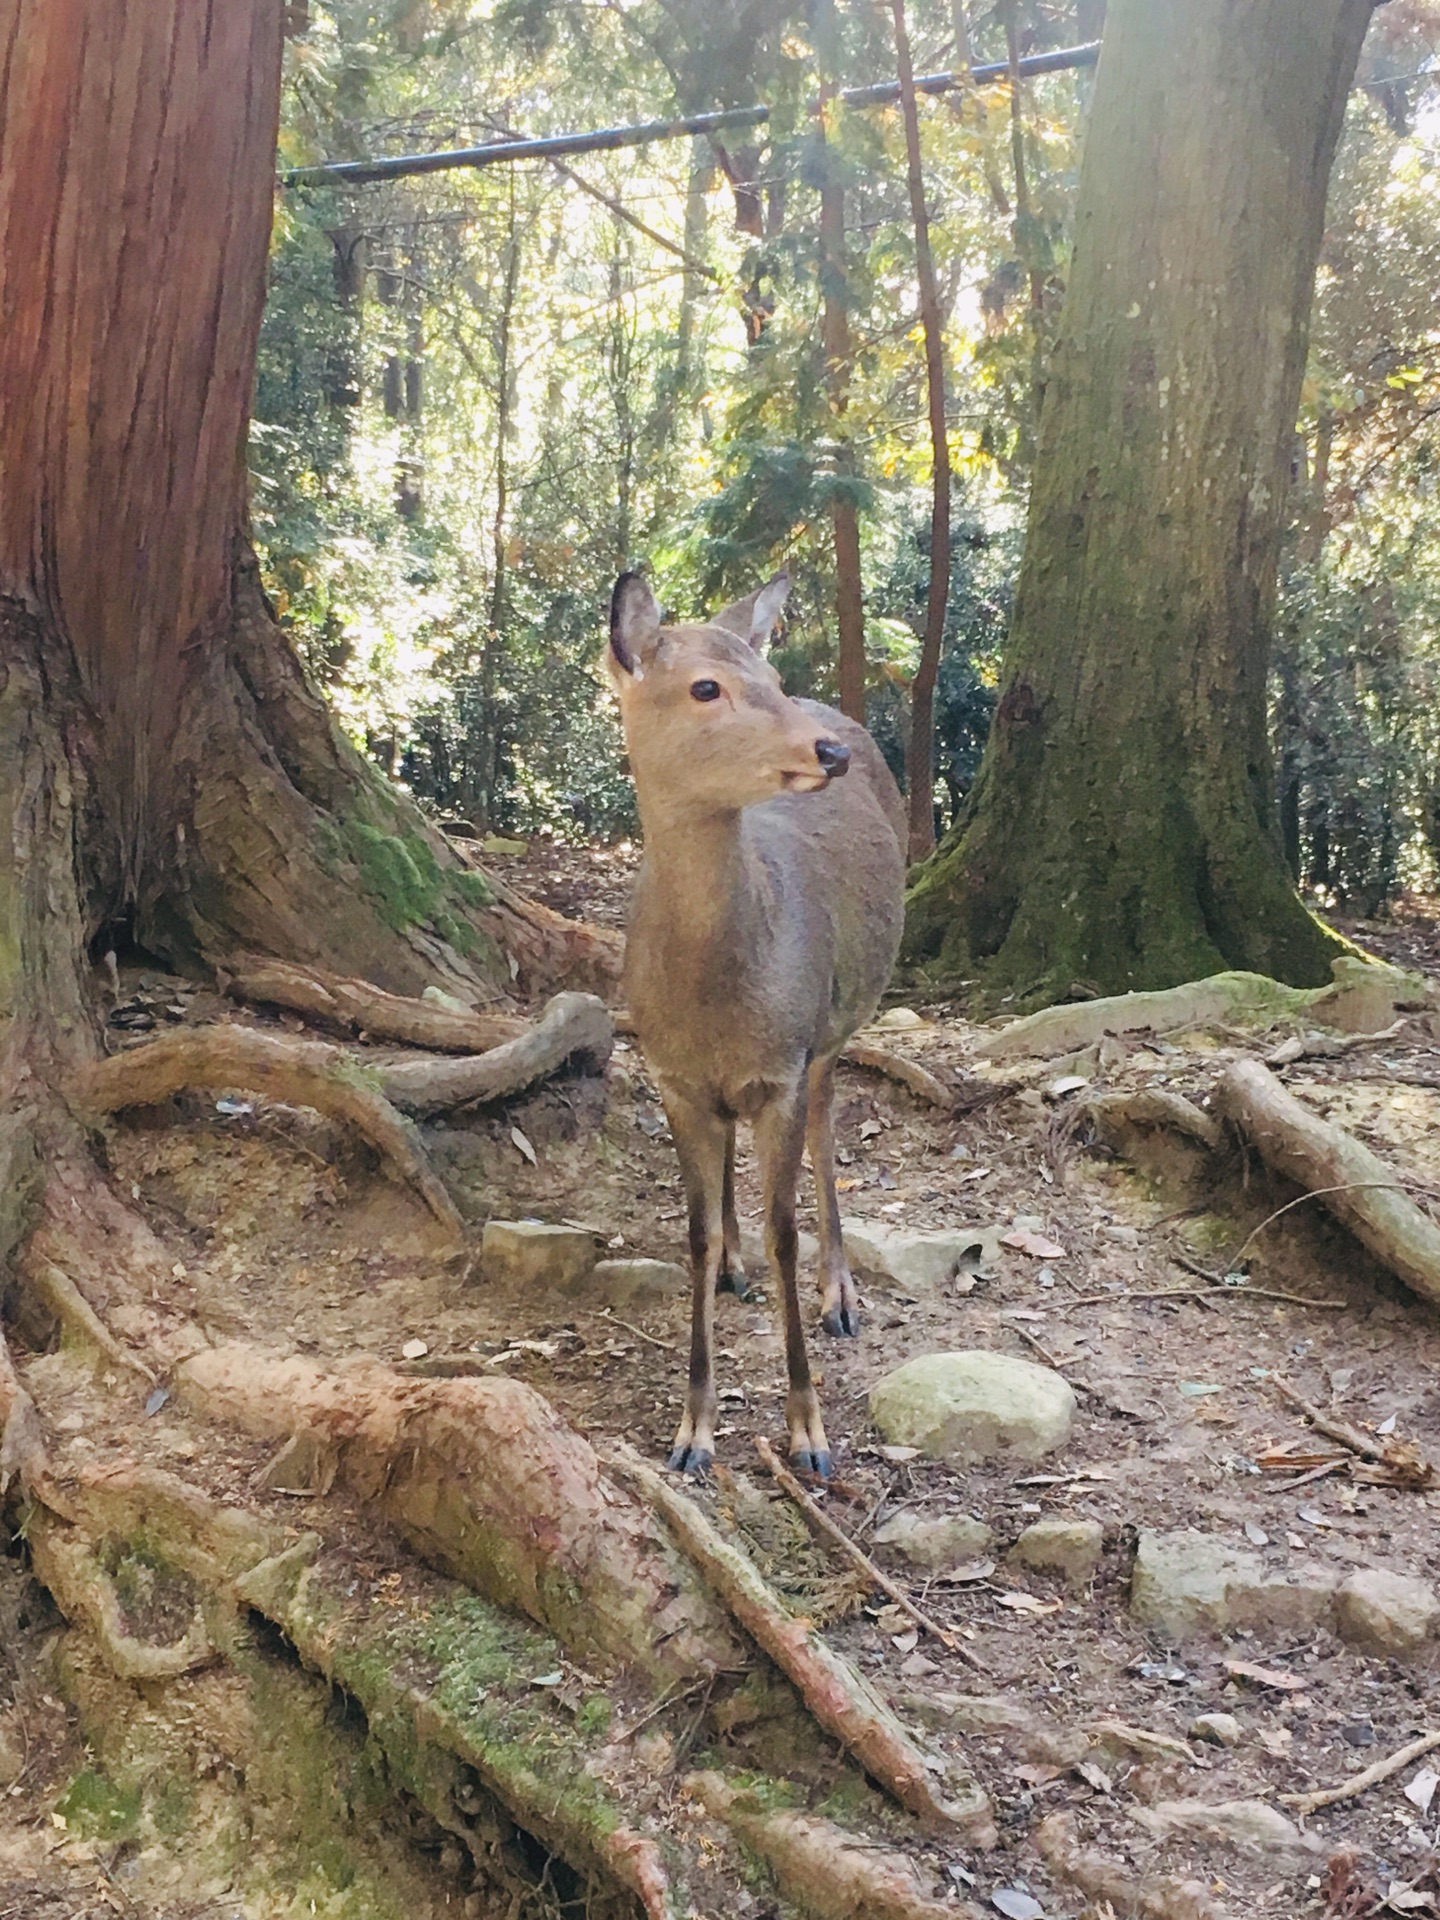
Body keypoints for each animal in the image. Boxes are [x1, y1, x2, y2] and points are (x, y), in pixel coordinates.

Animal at [606, 560, 902, 1474]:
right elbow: (695, 1236)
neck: (718, 1006)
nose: (827, 752)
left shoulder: (785, 1060)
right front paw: (692, 1432)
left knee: (830, 1122)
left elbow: (784, 1231)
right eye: (705, 686)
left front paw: (809, 1433)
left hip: (835, 1023)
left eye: (768, 676)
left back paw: (840, 1294)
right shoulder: (669, 1075)